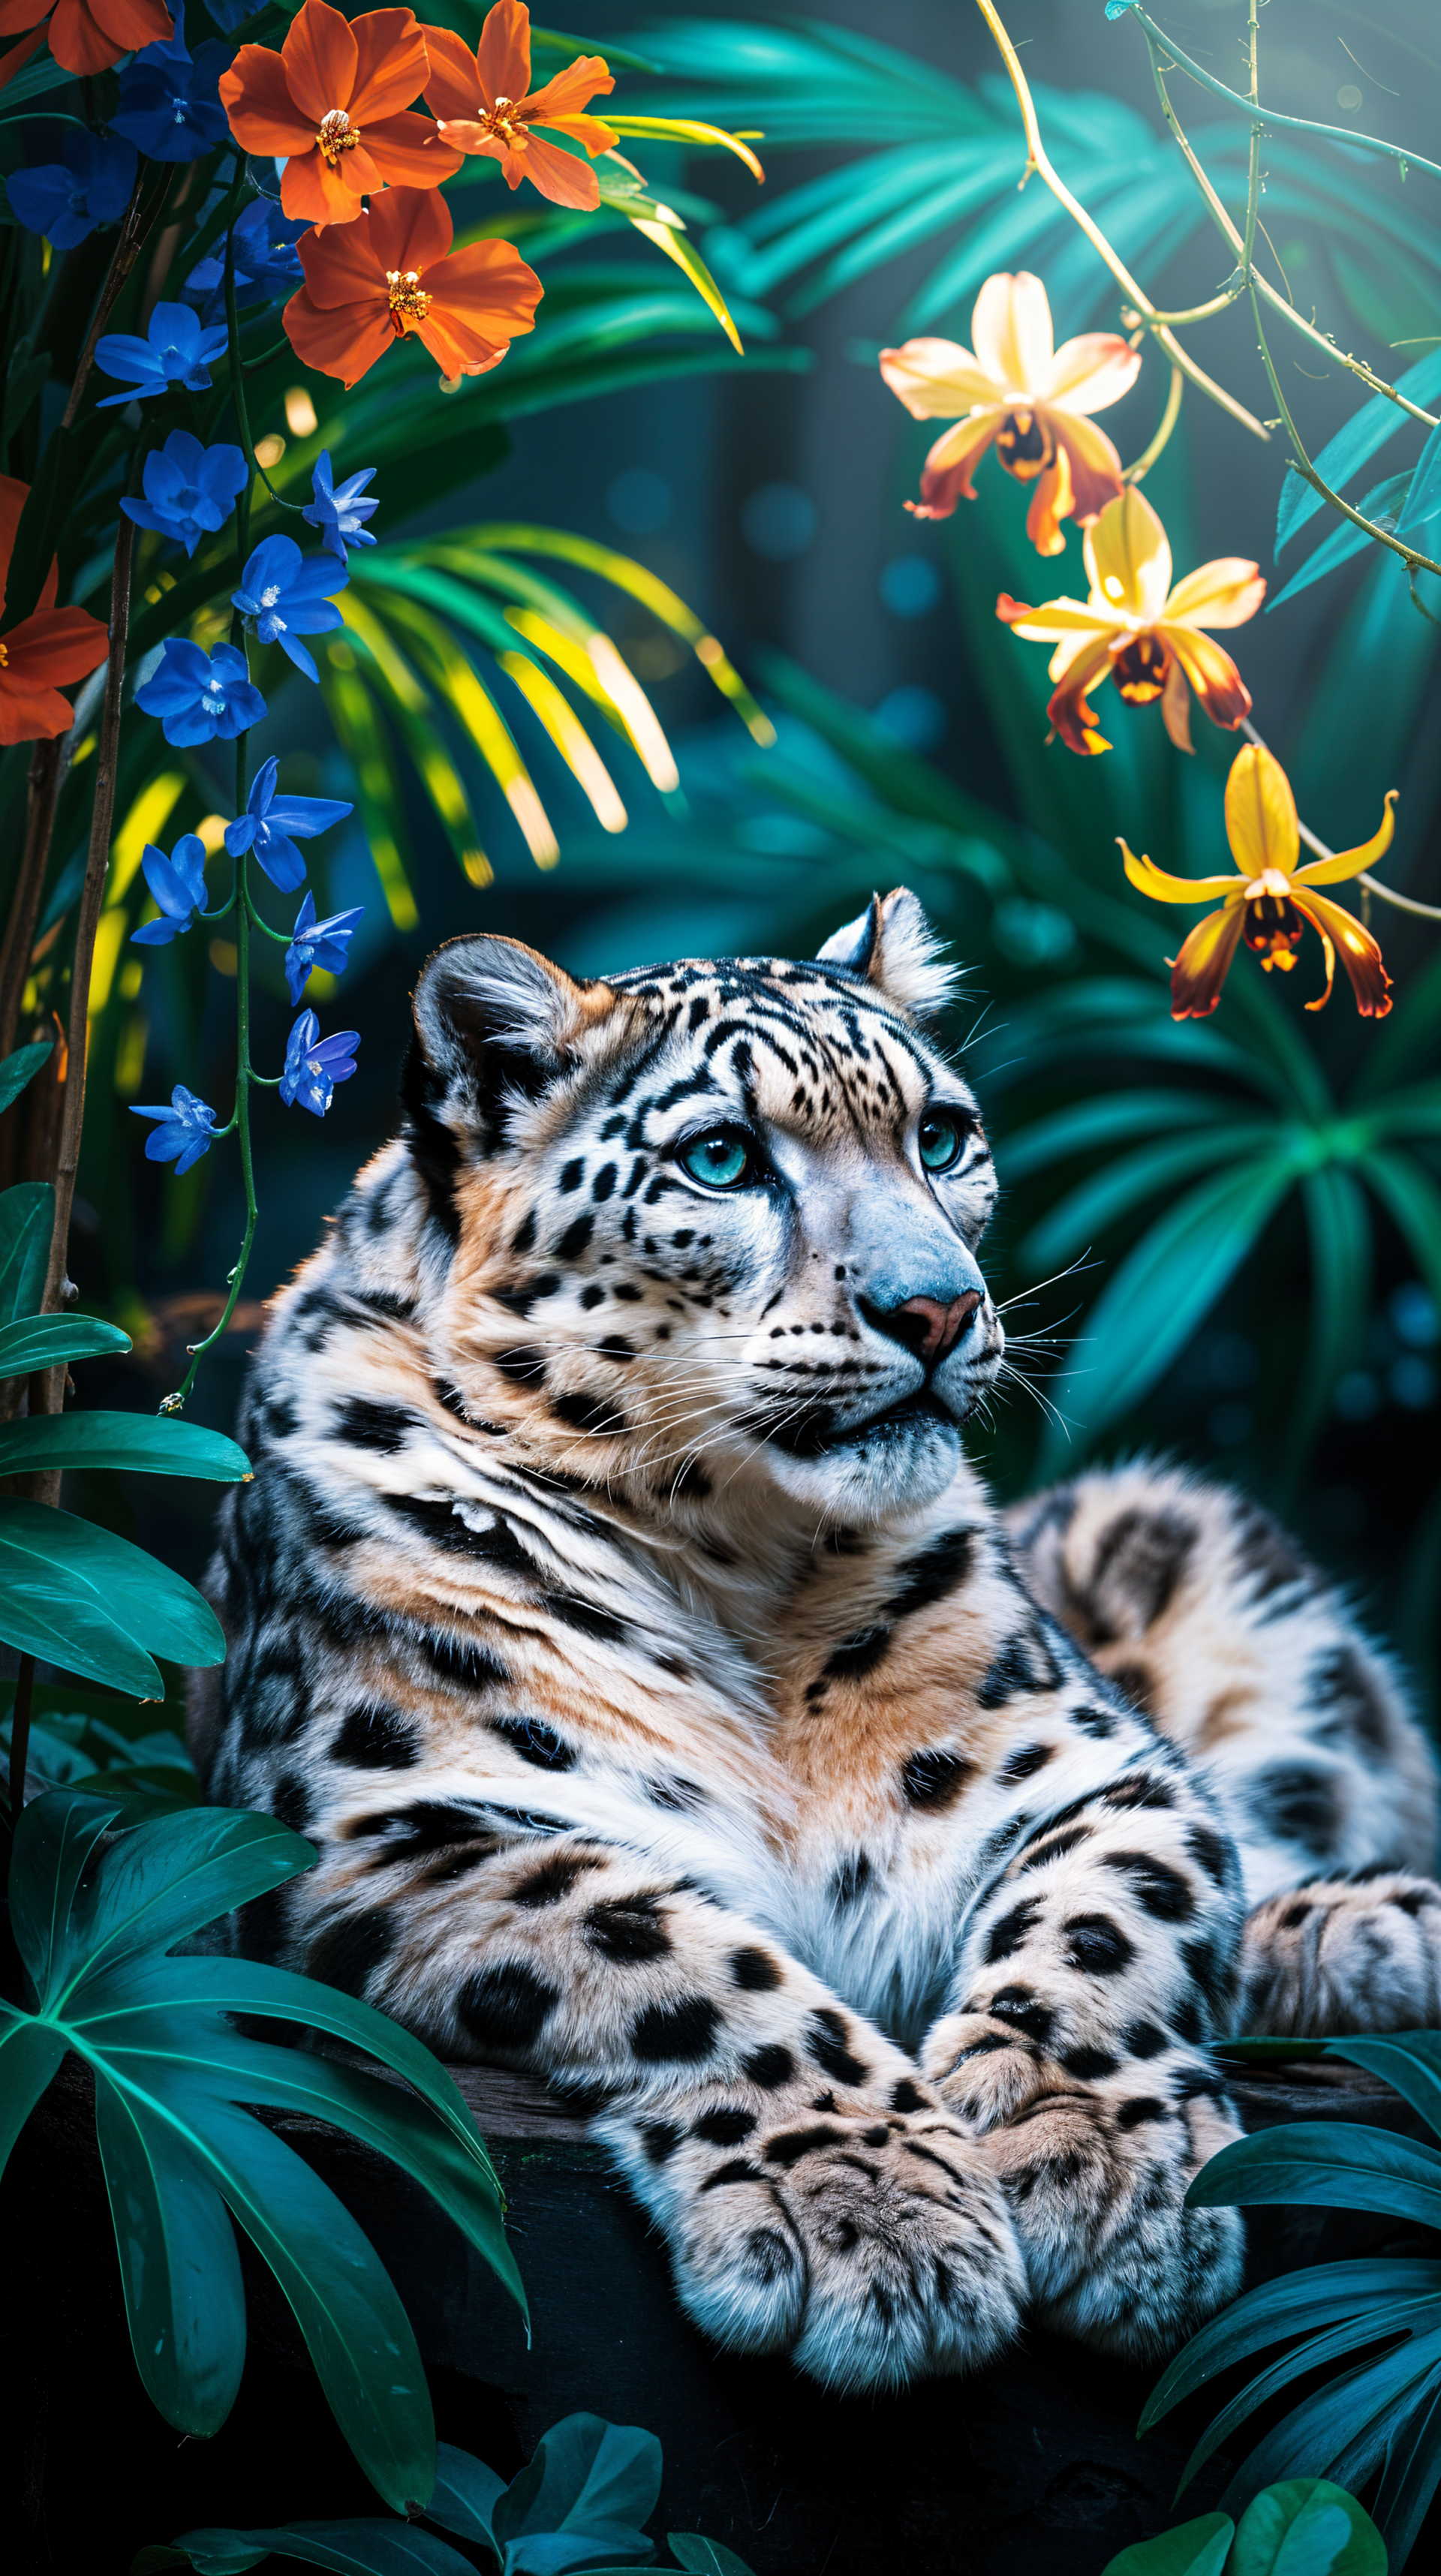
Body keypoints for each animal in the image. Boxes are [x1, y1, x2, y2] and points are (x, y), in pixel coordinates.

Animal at [193, 888, 1441, 2394]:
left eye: (941, 1135)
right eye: (722, 1157)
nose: (937, 1307)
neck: (742, 1570)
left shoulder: (1092, 1765)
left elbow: (1110, 1916)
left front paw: (1094, 2163)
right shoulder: (381, 1825)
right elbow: (672, 1956)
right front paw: (875, 2215)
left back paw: (1385, 1927)